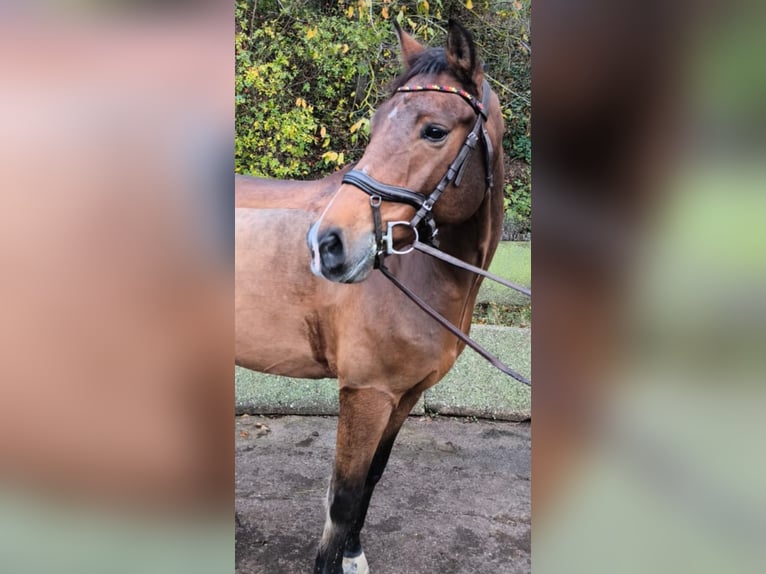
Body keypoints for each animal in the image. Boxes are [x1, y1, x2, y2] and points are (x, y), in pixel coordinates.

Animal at [235, 20, 506, 574]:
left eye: (434, 130)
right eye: (378, 123)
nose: (327, 245)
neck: (419, 272)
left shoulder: (404, 395)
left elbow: (371, 481)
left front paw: (353, 555)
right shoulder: (366, 393)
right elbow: (341, 498)